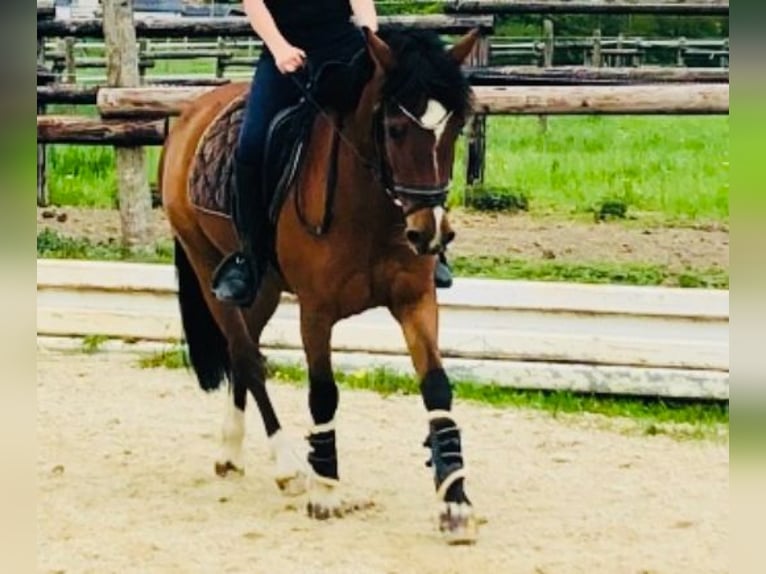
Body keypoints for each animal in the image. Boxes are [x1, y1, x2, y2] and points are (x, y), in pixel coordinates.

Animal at [159, 27, 480, 544]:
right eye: (394, 128)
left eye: (454, 128)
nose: (429, 233)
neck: (371, 208)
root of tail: (192, 113)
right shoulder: (316, 311)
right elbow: (323, 393)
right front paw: (326, 489)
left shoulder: (415, 299)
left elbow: (437, 388)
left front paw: (455, 503)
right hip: (206, 266)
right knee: (245, 355)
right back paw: (288, 465)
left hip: (265, 287)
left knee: (244, 348)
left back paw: (231, 450)